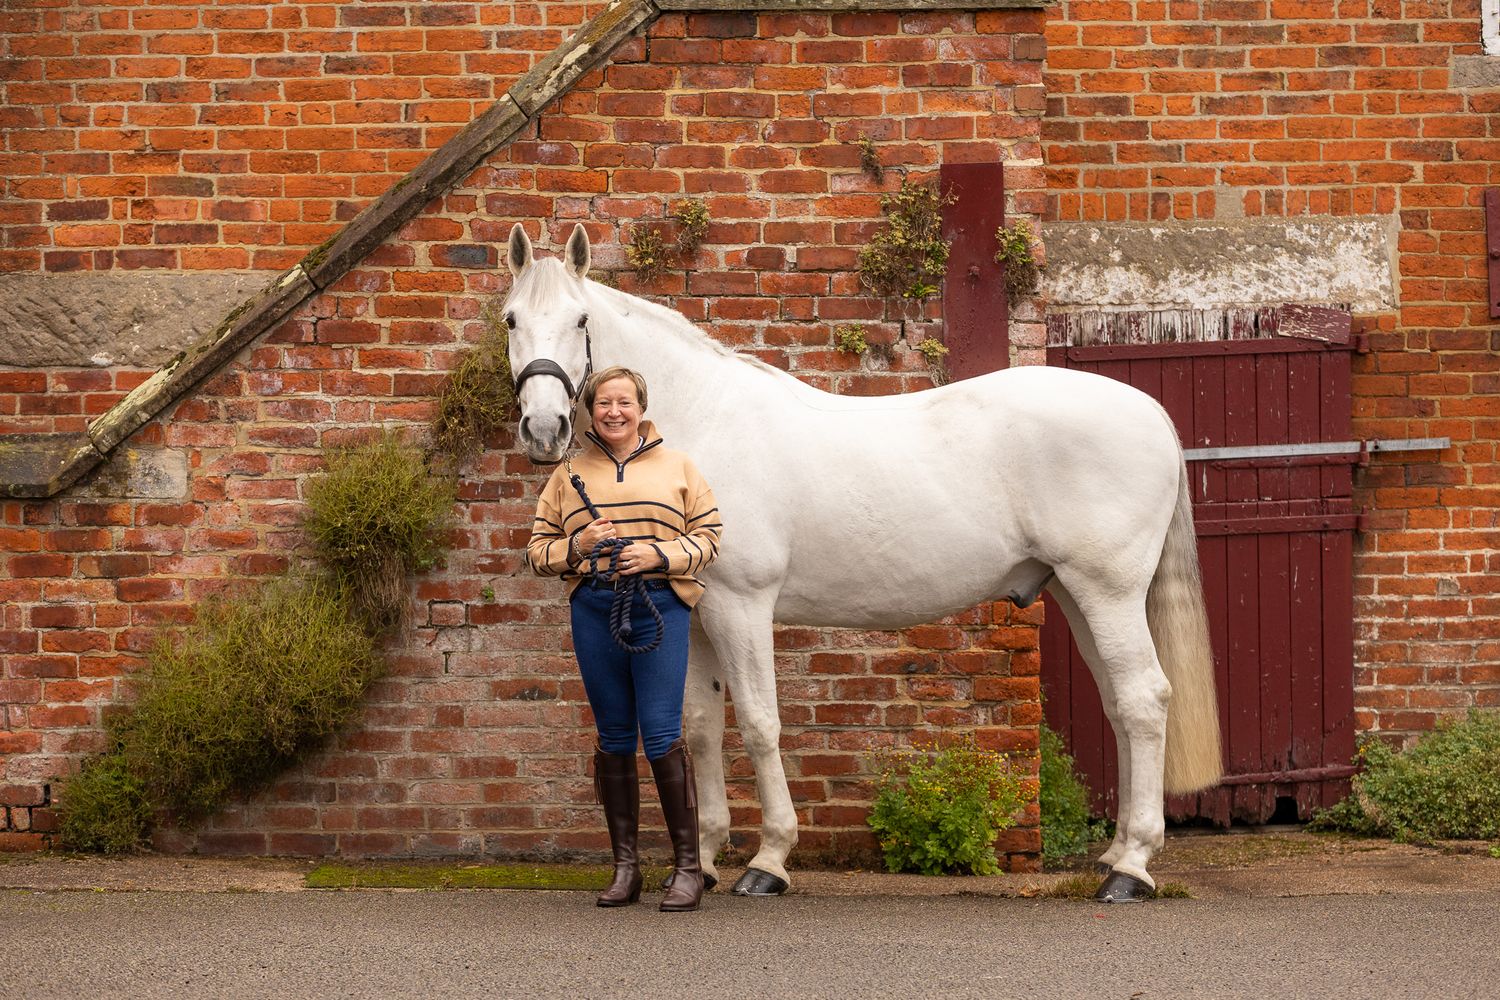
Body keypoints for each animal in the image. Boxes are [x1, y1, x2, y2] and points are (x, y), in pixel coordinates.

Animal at [502, 223, 1223, 902]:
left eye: (582, 320)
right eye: (510, 319)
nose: (545, 429)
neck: (703, 426)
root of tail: (1150, 411)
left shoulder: (741, 605)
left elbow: (759, 723)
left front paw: (768, 862)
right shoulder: (694, 609)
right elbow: (702, 728)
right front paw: (702, 863)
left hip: (1107, 590)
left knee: (1143, 699)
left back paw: (1130, 870)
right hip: (1076, 593)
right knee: (1121, 704)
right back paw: (1119, 854)